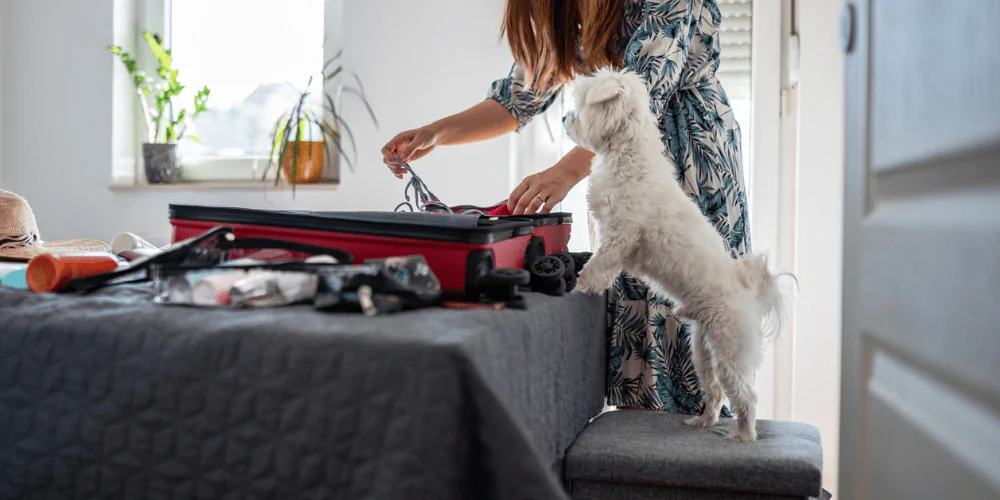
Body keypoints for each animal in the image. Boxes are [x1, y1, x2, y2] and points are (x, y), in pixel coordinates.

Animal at [564, 68, 788, 444]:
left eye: (581, 104)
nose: (567, 118)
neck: (628, 156)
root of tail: (749, 293)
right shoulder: (616, 238)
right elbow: (603, 263)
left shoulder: (621, 236)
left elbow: (599, 265)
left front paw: (581, 286)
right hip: (703, 352)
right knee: (715, 391)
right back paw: (704, 421)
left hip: (729, 351)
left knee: (746, 396)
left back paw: (743, 435)